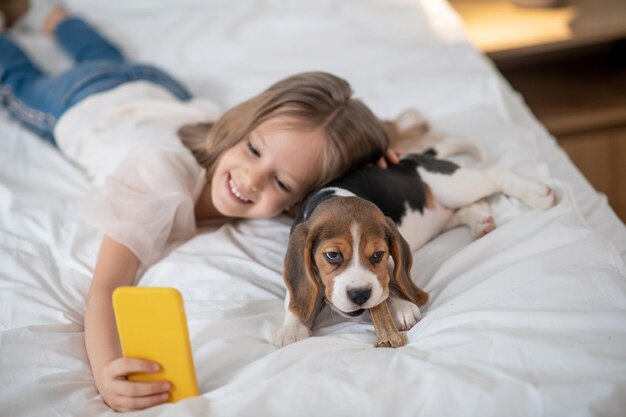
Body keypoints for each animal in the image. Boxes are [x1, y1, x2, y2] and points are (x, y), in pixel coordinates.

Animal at [270, 148, 552, 346]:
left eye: (378, 255)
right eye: (332, 255)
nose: (360, 295)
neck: (336, 195)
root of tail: (411, 158)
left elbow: (391, 281)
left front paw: (399, 306)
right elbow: (295, 295)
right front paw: (291, 327)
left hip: (456, 187)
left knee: (495, 175)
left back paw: (536, 193)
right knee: (468, 209)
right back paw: (480, 222)